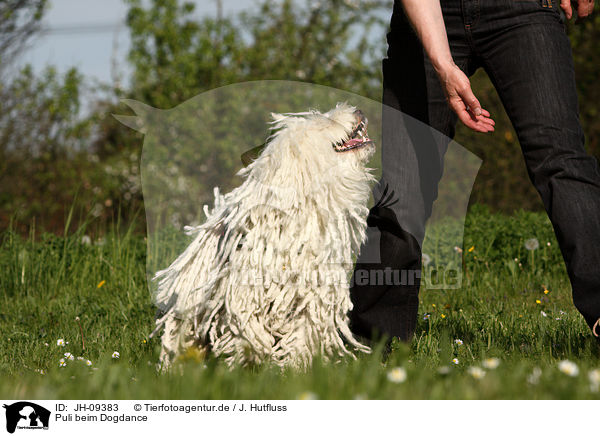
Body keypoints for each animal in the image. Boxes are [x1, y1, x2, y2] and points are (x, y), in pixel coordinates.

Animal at [150, 102, 376, 368]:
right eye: (325, 122)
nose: (358, 110)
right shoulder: (244, 295)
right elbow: (248, 330)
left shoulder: (311, 298)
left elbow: (302, 333)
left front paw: (294, 366)